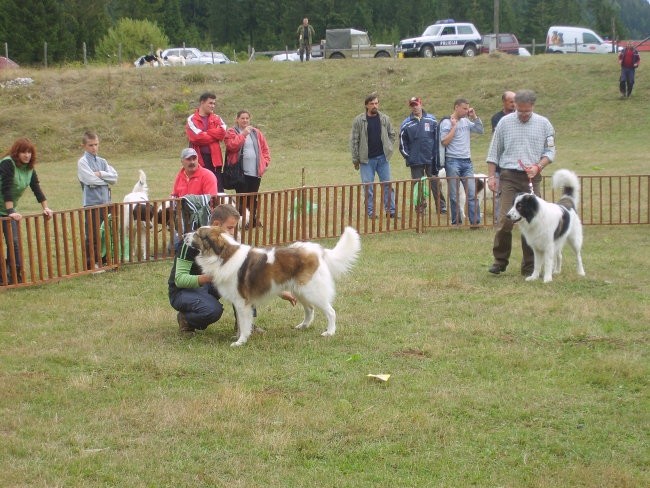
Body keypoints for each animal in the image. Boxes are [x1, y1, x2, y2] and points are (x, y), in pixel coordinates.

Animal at [185, 226, 360, 346]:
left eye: (197, 234)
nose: (184, 235)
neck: (223, 256)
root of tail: (316, 251)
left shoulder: (242, 302)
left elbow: (243, 323)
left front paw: (241, 341)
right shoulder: (238, 301)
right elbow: (241, 323)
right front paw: (240, 336)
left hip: (312, 291)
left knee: (330, 312)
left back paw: (330, 332)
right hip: (300, 291)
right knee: (310, 310)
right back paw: (303, 326)